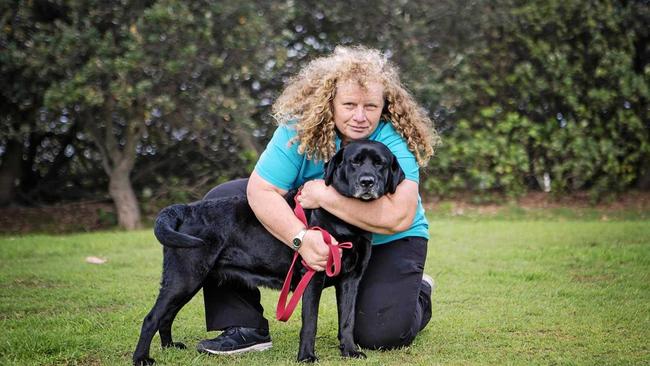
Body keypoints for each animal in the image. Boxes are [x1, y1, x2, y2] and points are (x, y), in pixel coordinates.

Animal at [131, 139, 402, 364]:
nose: (367, 182)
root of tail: (185, 209)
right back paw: (142, 358)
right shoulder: (312, 277)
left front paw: (350, 351)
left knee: (166, 317)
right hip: (185, 279)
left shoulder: (350, 280)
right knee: (152, 318)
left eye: (380, 164)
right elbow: (310, 323)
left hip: (188, 282)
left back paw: (169, 347)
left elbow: (347, 320)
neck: (343, 221)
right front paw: (306, 357)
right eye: (354, 162)